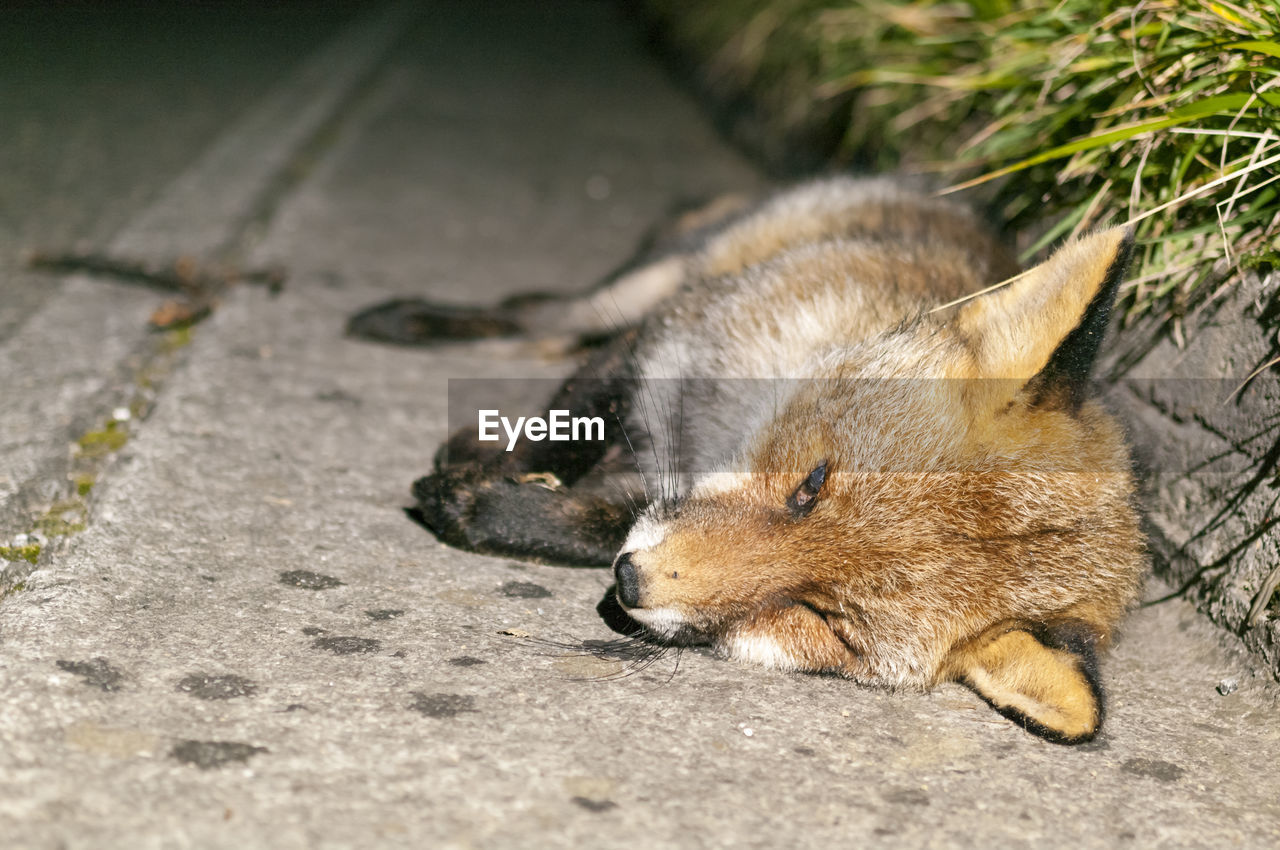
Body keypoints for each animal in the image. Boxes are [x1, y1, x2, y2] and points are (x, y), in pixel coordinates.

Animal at [353, 177, 1152, 742]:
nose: (633, 581)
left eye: (821, 617)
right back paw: (407, 320)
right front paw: (495, 468)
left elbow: (589, 520)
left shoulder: (645, 480)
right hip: (660, 280)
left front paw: (487, 502)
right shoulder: (667, 339)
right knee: (548, 316)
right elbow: (567, 425)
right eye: (813, 483)